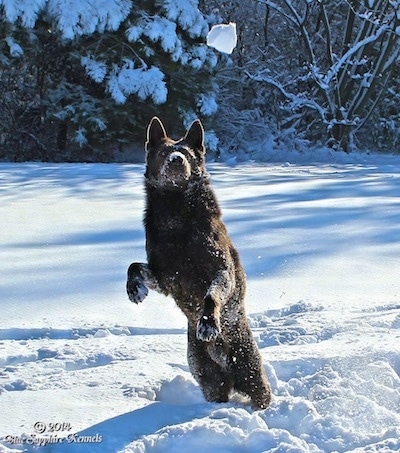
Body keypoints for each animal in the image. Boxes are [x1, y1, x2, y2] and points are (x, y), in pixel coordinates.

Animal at [127, 117, 272, 410]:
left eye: (188, 154)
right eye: (163, 152)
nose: (175, 160)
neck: (176, 216)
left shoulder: (220, 270)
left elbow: (212, 295)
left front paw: (207, 324)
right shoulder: (166, 277)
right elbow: (134, 267)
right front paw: (135, 290)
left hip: (250, 370)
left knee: (262, 392)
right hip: (206, 374)